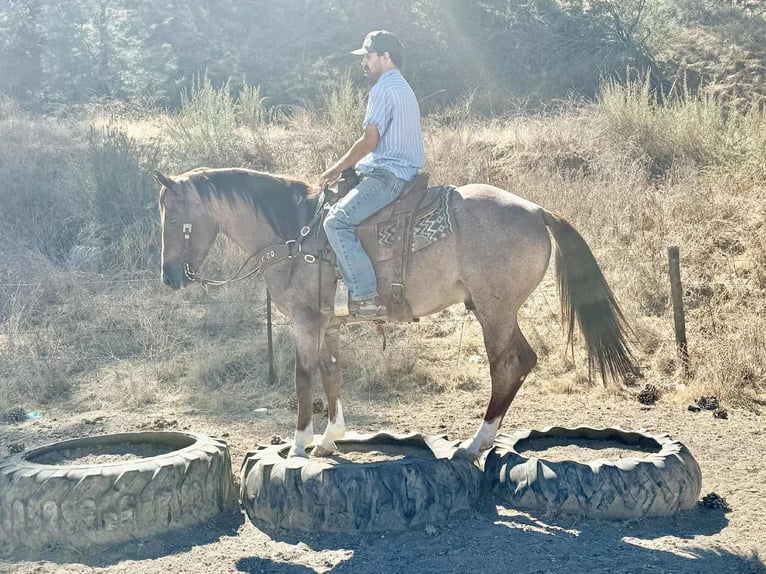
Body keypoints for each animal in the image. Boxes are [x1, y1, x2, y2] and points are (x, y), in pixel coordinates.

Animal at [153, 167, 634, 459]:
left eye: (172, 217)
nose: (169, 277)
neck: (295, 235)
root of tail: (535, 210)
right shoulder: (328, 324)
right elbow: (332, 374)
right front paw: (330, 439)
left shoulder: (305, 322)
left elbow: (303, 378)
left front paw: (298, 445)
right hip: (497, 310)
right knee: (522, 361)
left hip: (494, 311)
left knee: (507, 364)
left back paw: (476, 442)